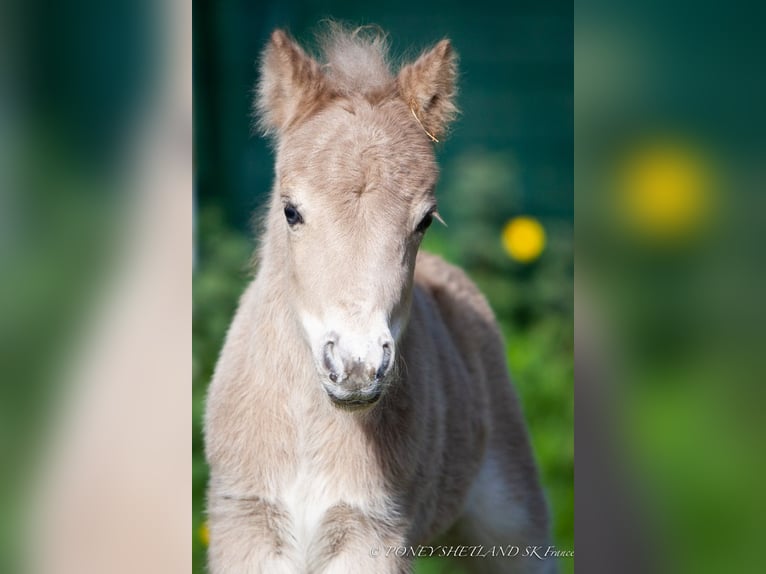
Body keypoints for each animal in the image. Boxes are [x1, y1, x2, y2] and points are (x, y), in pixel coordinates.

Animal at [201, 27, 556, 574]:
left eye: (425, 219)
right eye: (290, 211)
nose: (356, 367)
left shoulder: (372, 533)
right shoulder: (246, 526)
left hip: (515, 522)